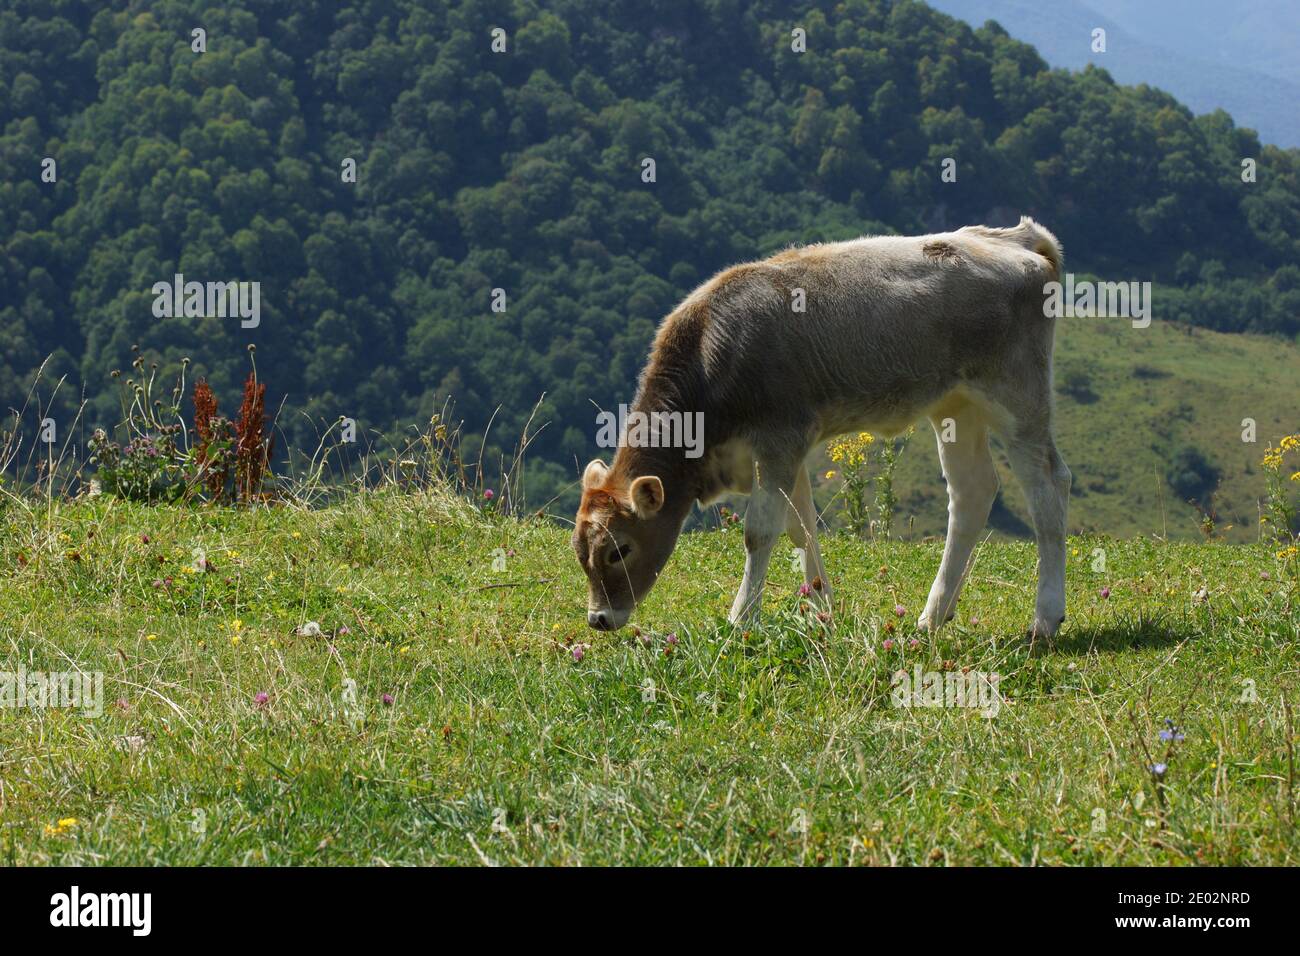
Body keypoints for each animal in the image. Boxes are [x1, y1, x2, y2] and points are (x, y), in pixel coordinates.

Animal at [574, 217, 1071, 642]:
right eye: (580, 551)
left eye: (619, 550)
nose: (599, 618)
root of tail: (1016, 238)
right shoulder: (784, 451)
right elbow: (802, 529)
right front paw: (823, 608)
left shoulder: (779, 439)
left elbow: (759, 532)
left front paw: (741, 619)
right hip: (956, 404)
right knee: (972, 492)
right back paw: (933, 615)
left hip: (1018, 398)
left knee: (1048, 488)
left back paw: (1045, 618)